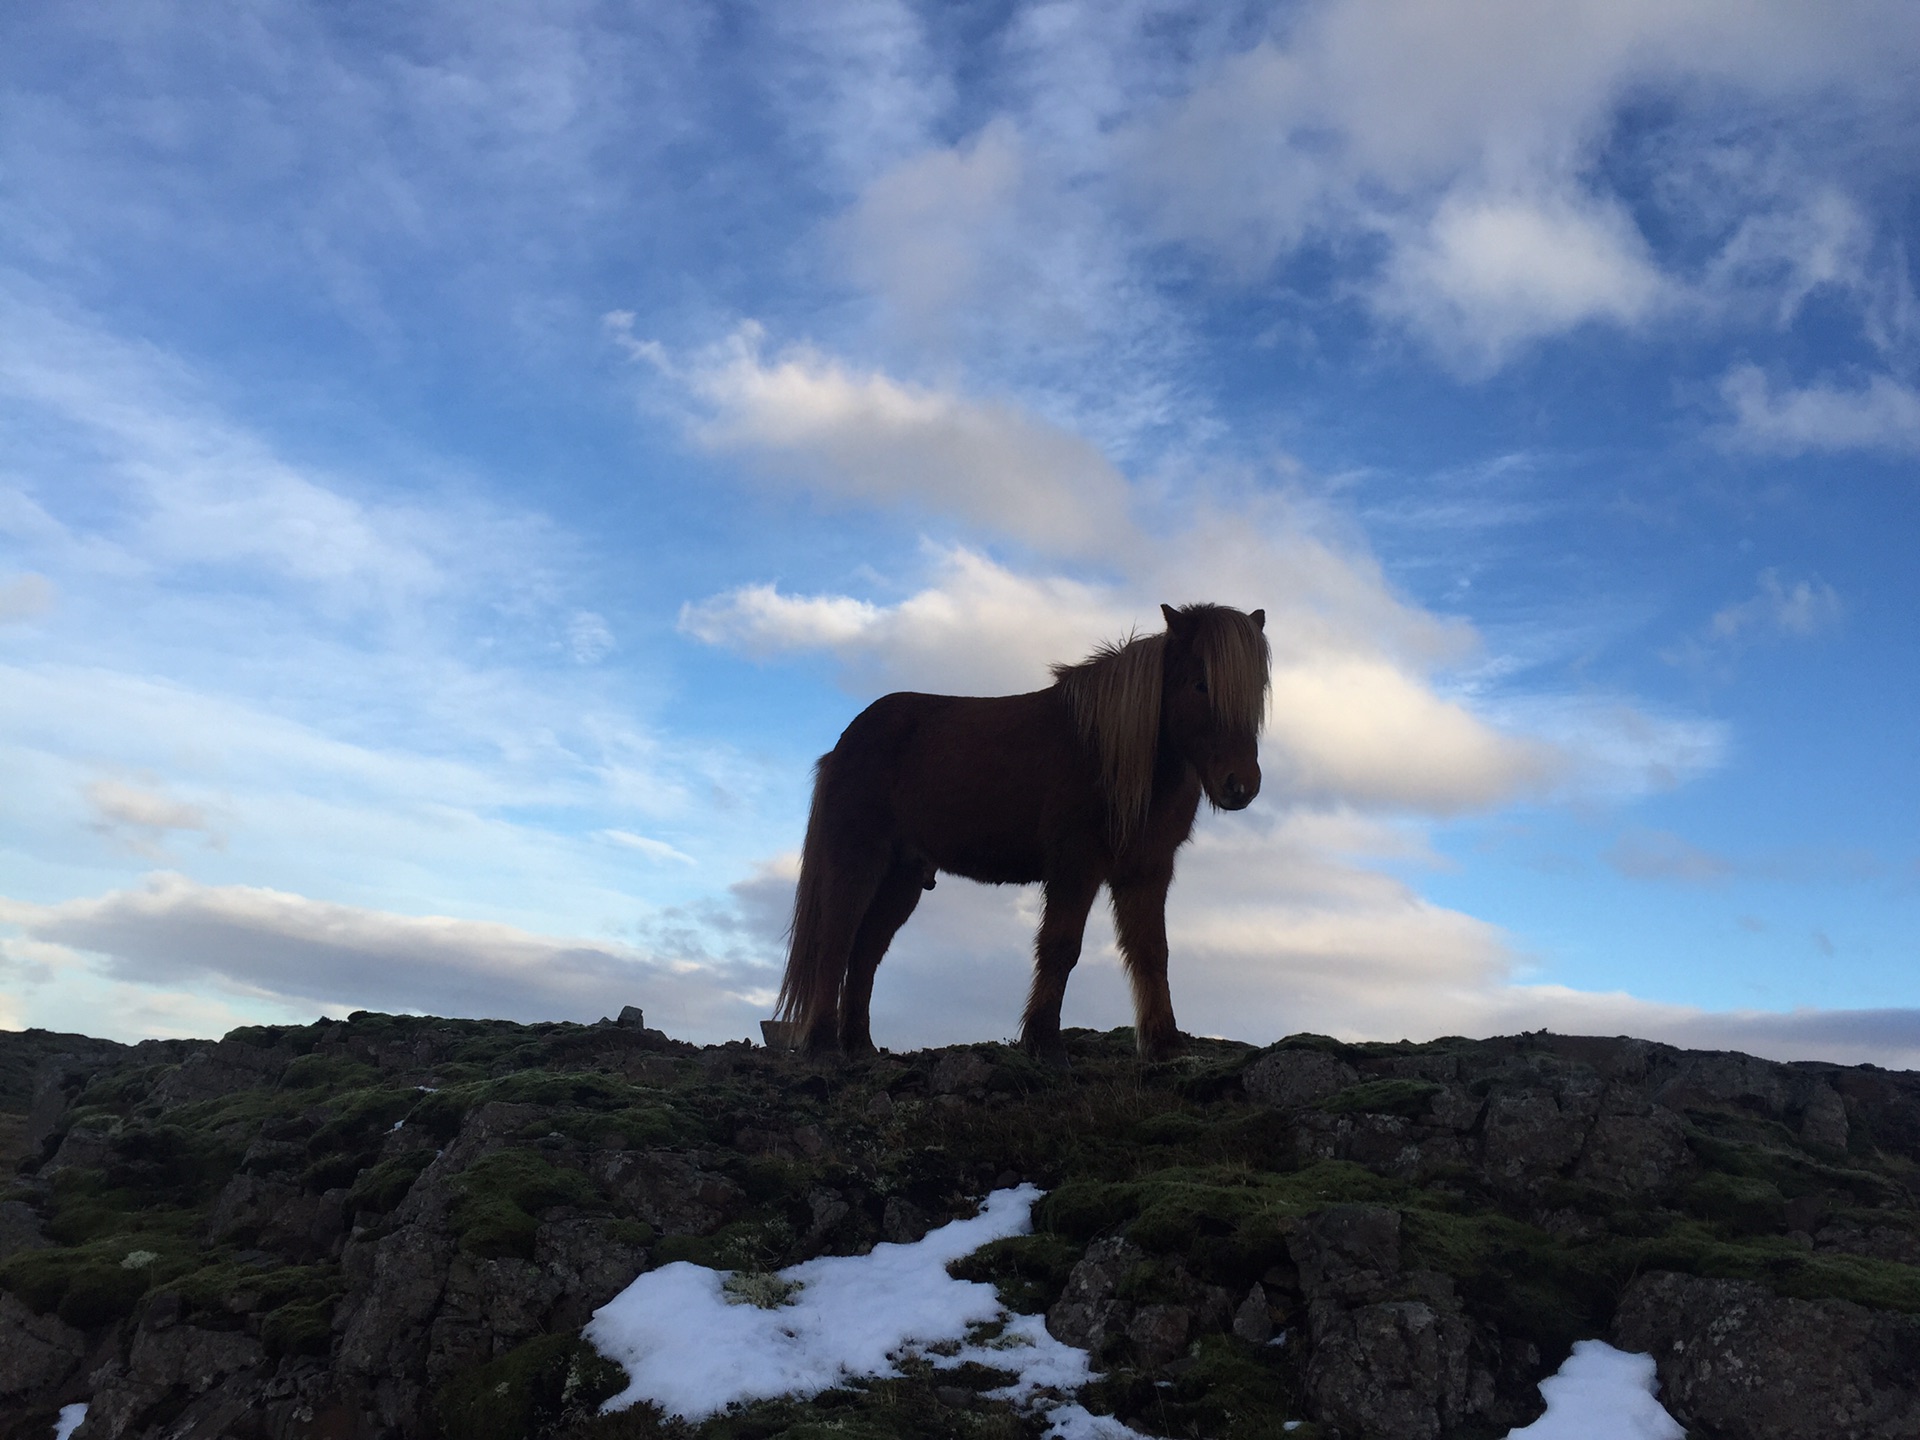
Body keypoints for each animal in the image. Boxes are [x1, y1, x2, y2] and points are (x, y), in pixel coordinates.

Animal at [771, 602, 1267, 1067]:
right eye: (1200, 684)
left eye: (1257, 691)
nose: (1240, 785)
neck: (1116, 753)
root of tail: (844, 743)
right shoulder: (1075, 865)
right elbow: (1060, 948)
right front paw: (1043, 1041)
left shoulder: (1147, 871)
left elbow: (1152, 952)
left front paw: (1164, 1044)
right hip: (857, 862)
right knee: (836, 942)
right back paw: (823, 1046)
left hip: (903, 878)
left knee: (865, 952)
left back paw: (860, 1046)